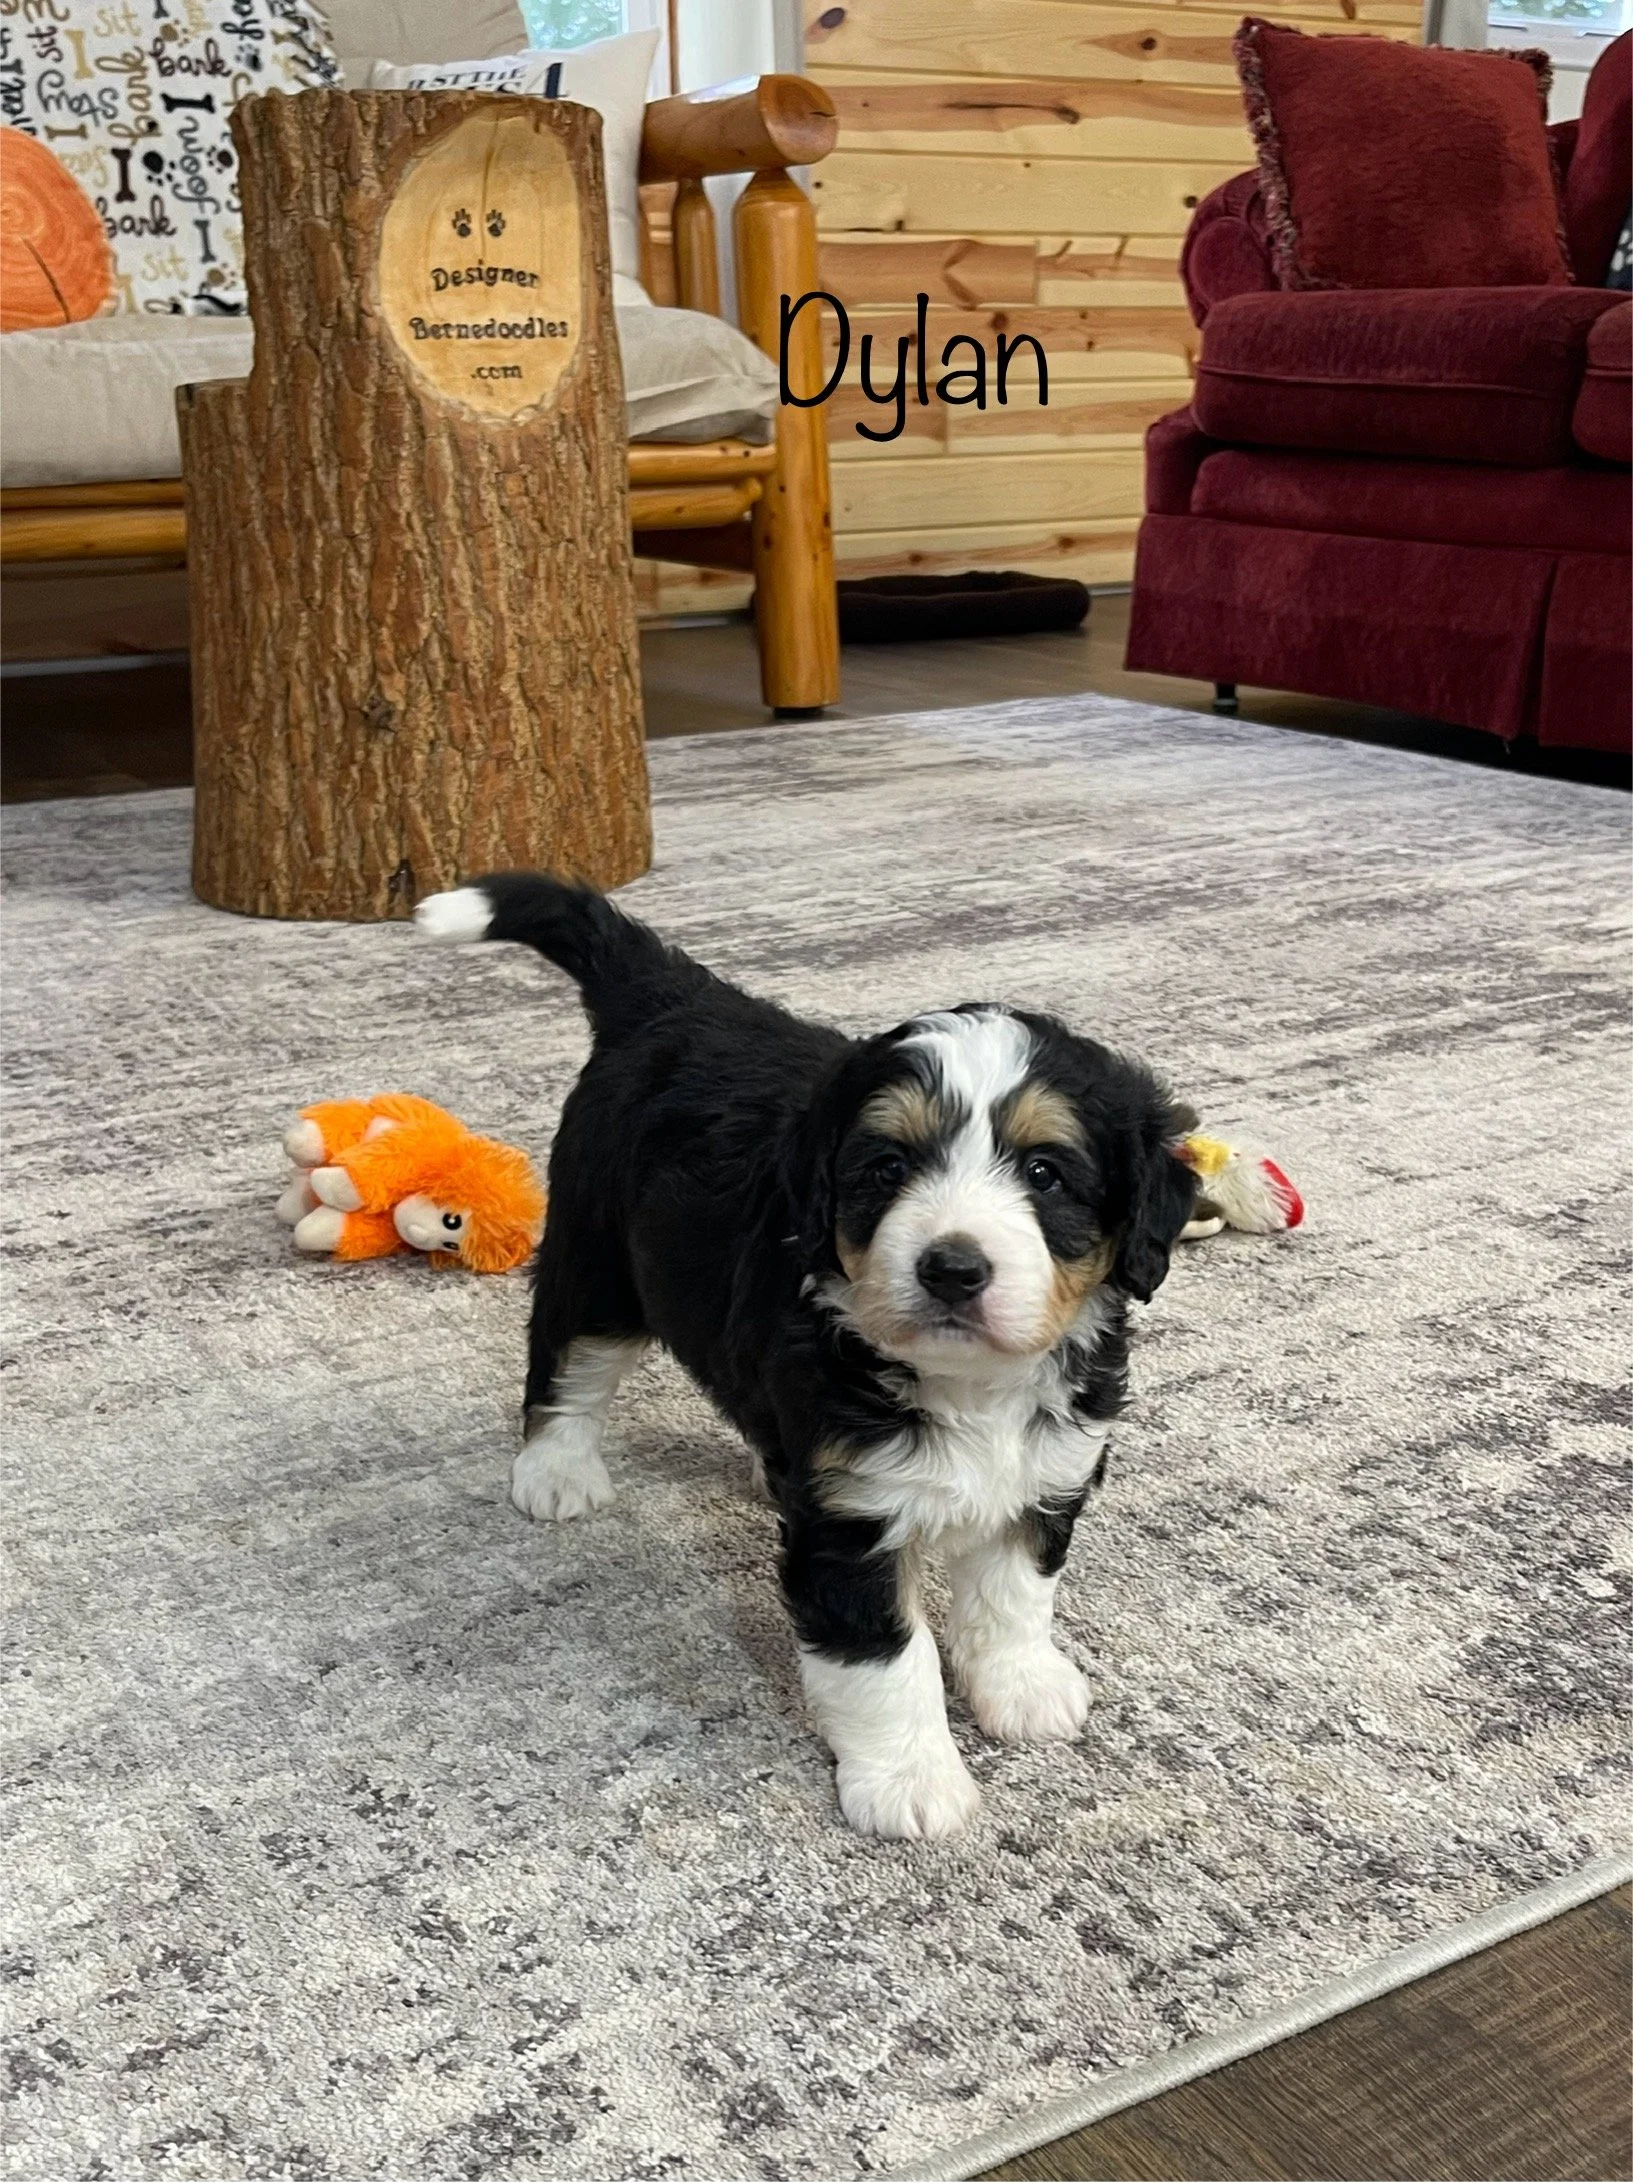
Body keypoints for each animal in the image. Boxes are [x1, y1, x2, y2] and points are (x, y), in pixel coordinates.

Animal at [416, 873, 1198, 1840]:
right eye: (886, 1167)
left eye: (1045, 1173)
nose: (951, 1267)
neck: (967, 1388)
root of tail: (679, 998)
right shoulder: (849, 1524)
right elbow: (885, 1660)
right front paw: (910, 1781)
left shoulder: (1044, 1470)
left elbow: (1013, 1593)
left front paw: (1022, 1687)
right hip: (598, 1262)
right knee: (567, 1364)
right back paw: (556, 1470)